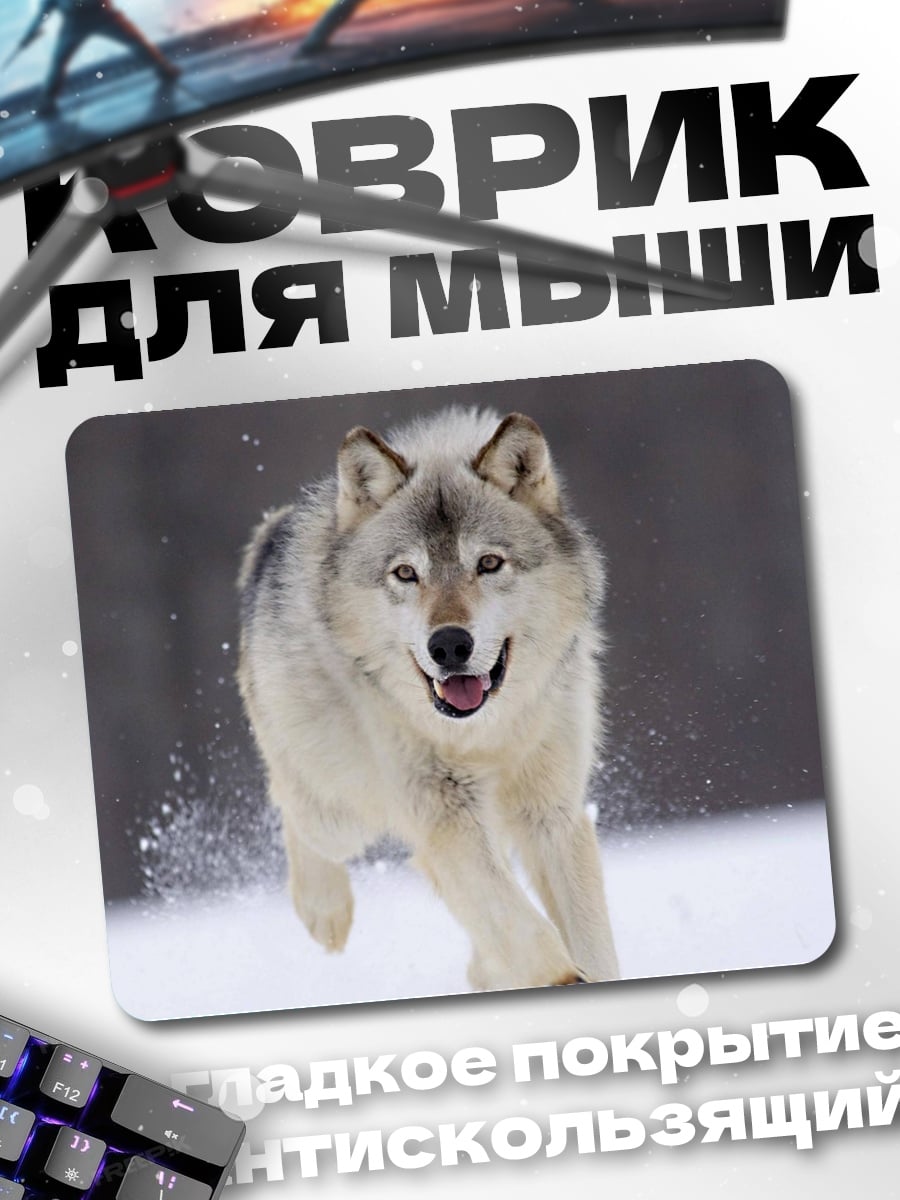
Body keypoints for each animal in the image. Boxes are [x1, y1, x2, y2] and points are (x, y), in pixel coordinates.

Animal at [237, 406, 619, 991]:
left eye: (488, 563)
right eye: (405, 573)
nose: (450, 645)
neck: (483, 735)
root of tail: (272, 533)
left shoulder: (551, 814)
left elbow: (588, 942)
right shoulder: (445, 815)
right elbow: (528, 934)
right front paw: (559, 980)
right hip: (341, 809)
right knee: (293, 808)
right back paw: (325, 912)